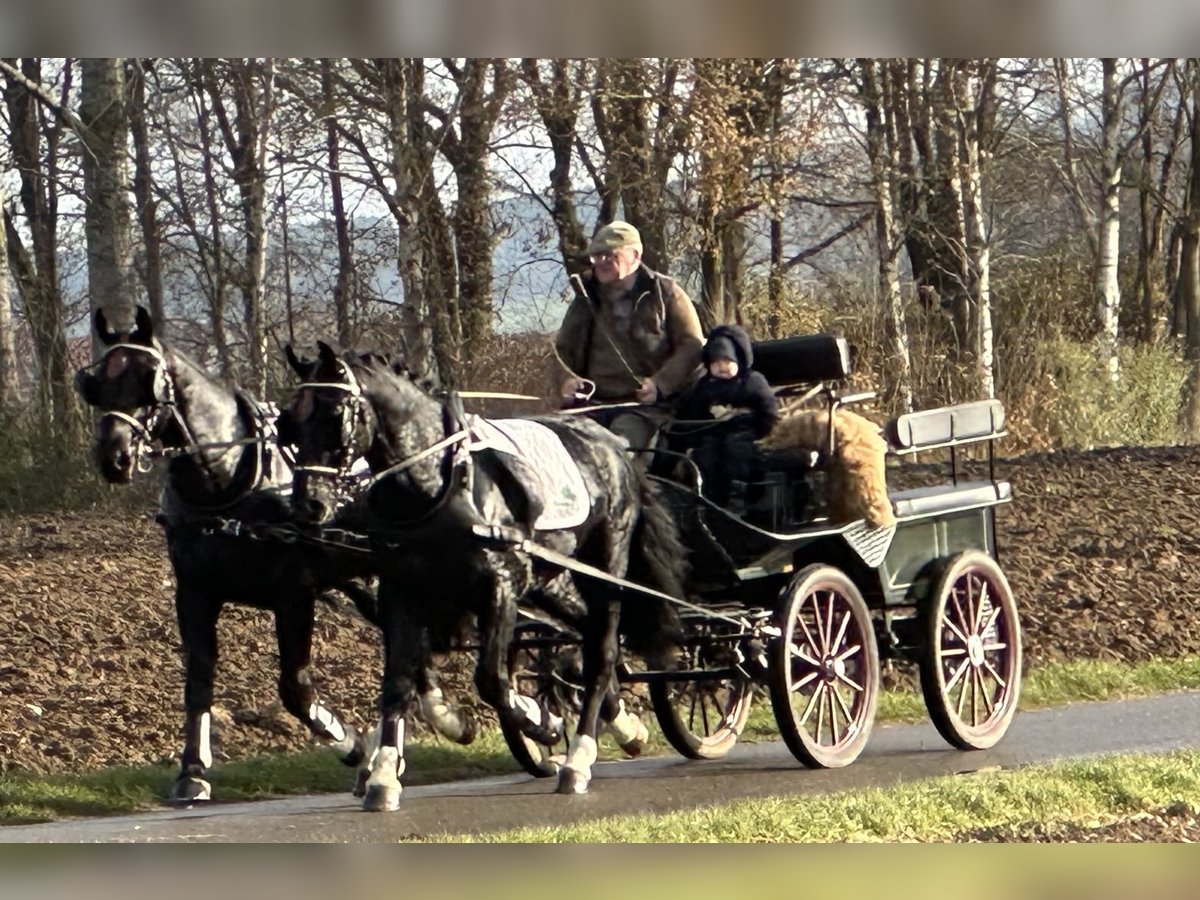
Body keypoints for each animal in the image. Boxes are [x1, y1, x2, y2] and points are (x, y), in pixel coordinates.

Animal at [72, 309, 475, 801]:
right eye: (96, 385)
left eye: (147, 381)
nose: (114, 458)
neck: (230, 488)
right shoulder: (195, 592)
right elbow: (199, 678)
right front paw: (192, 771)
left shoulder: (293, 595)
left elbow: (295, 689)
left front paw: (353, 745)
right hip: (361, 581)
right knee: (409, 648)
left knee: (410, 648)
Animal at [274, 343, 681, 811]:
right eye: (288, 423)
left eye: (334, 414)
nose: (308, 506)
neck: (439, 481)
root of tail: (613, 446)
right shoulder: (402, 594)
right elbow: (397, 683)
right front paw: (383, 775)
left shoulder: (500, 588)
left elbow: (491, 681)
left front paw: (542, 724)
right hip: (552, 578)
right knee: (587, 632)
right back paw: (622, 725)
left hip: (606, 565)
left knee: (603, 649)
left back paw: (578, 756)